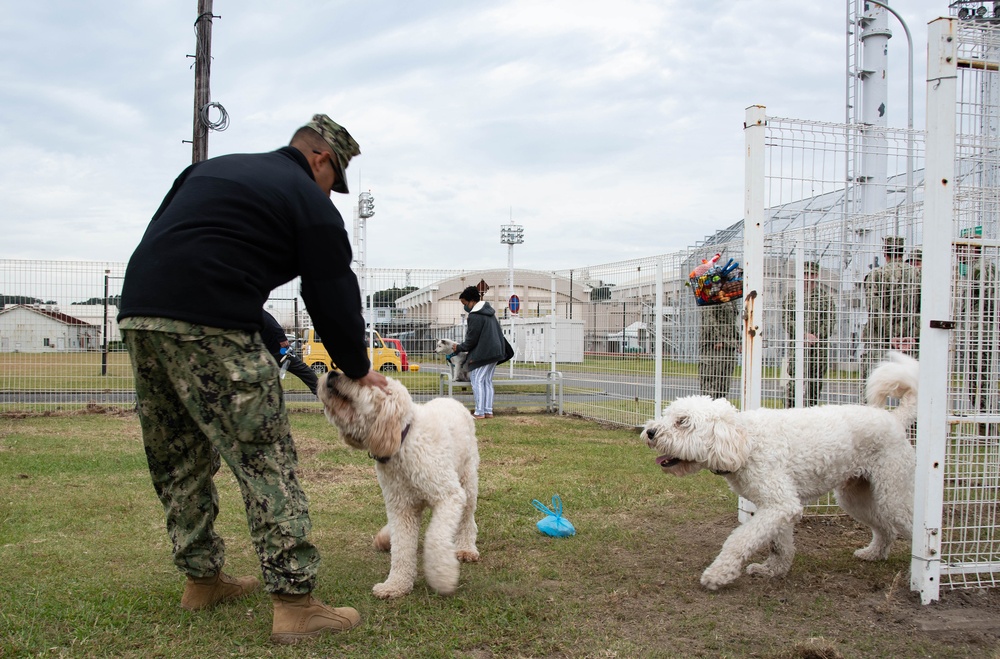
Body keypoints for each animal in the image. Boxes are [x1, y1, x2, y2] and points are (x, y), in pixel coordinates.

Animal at [316, 372, 480, 600]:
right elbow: (402, 547)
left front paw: (443, 576)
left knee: (467, 519)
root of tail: (452, 400)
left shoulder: (449, 495)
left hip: (468, 480)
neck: (402, 440)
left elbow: (435, 538)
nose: (332, 373)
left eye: (359, 379)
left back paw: (466, 548)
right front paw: (396, 585)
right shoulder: (401, 507)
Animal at [644, 354, 916, 592]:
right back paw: (874, 553)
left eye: (682, 421)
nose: (650, 432)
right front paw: (772, 570)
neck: (746, 443)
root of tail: (894, 418)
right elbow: (780, 545)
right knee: (885, 528)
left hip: (893, 494)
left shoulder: (780, 503)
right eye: (668, 415)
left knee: (911, 526)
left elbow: (739, 539)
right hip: (855, 496)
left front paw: (718, 574)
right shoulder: (778, 508)